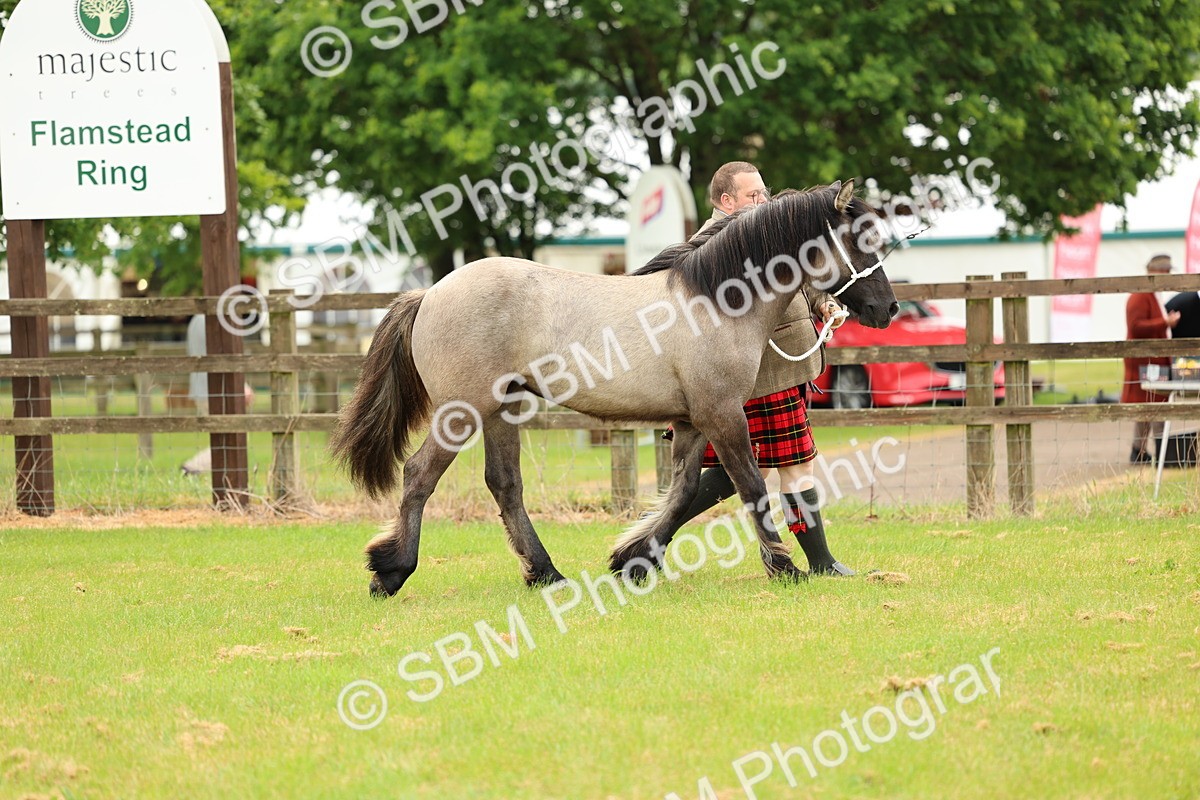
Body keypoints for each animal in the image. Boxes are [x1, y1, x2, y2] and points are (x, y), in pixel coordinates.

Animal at [331, 180, 898, 597]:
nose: (888, 309)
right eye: (860, 240)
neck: (718, 300)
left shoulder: (693, 420)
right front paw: (784, 567)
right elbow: (752, 487)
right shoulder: (722, 414)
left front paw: (634, 559)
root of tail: (429, 293)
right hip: (462, 411)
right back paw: (392, 571)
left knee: (505, 485)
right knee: (419, 475)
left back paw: (545, 574)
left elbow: (684, 491)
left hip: (502, 409)